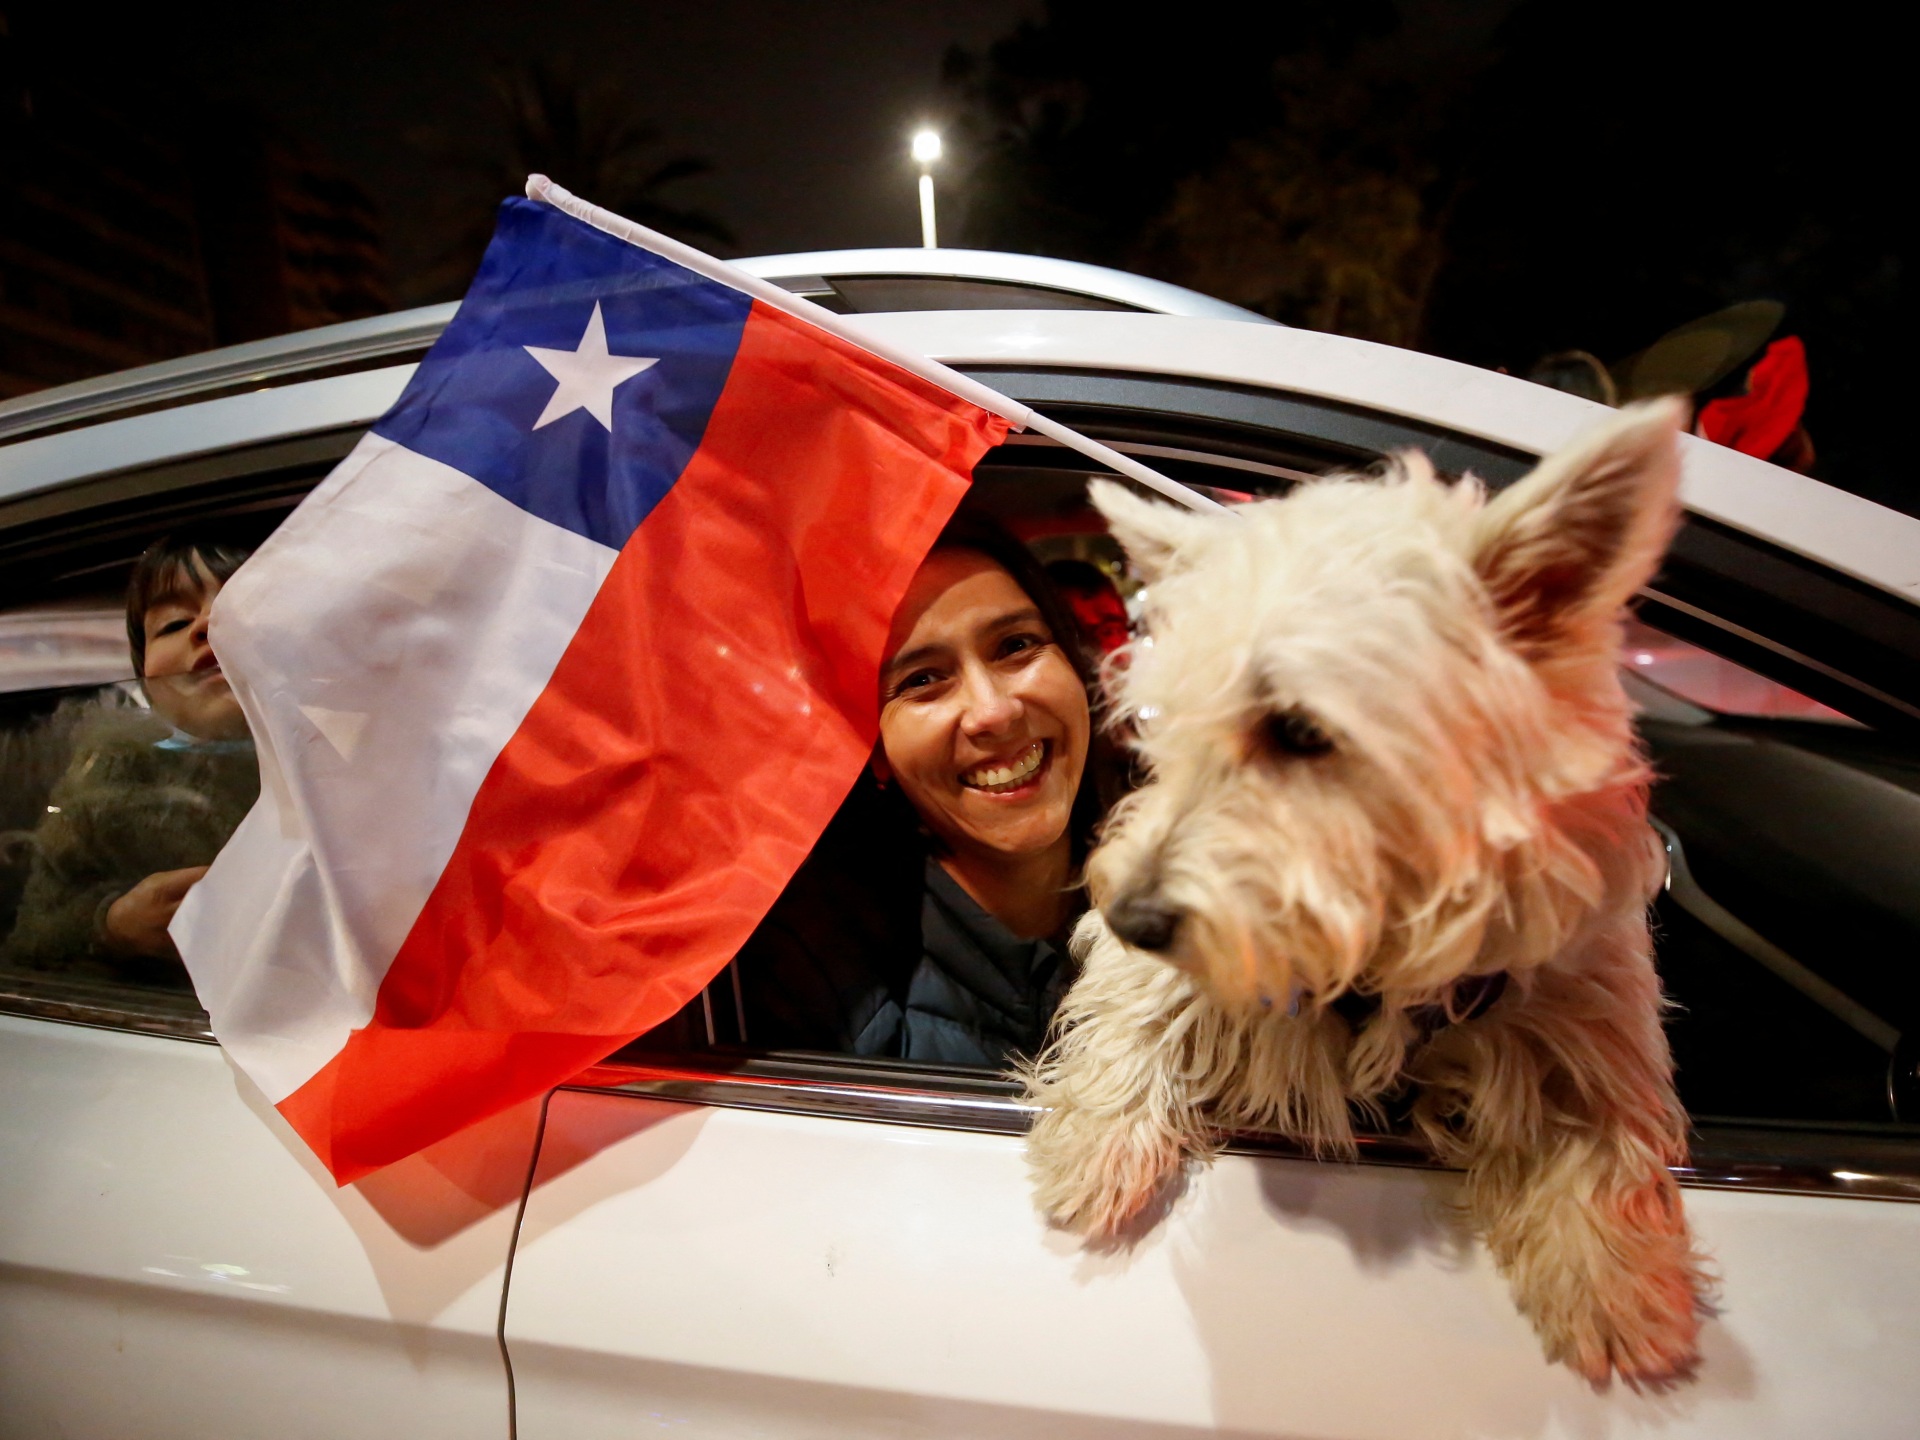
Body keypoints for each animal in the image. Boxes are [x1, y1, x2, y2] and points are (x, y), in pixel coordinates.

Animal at [1021, 403, 1712, 1390]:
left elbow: (1596, 1131)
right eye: (1165, 720)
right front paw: (1095, 1145)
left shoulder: (1582, 1003)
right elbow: (1141, 1005)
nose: (1133, 917)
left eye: (1300, 729)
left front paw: (1613, 1285)